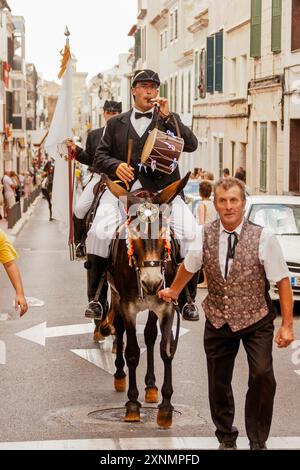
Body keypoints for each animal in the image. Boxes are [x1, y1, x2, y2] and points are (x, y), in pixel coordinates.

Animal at [102, 174, 189, 428]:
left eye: (163, 232)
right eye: (135, 234)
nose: (152, 283)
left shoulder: (166, 306)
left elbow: (165, 349)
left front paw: (166, 407)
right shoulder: (128, 307)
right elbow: (131, 351)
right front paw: (132, 404)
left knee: (150, 336)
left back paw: (150, 386)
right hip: (116, 297)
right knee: (119, 330)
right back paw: (120, 375)